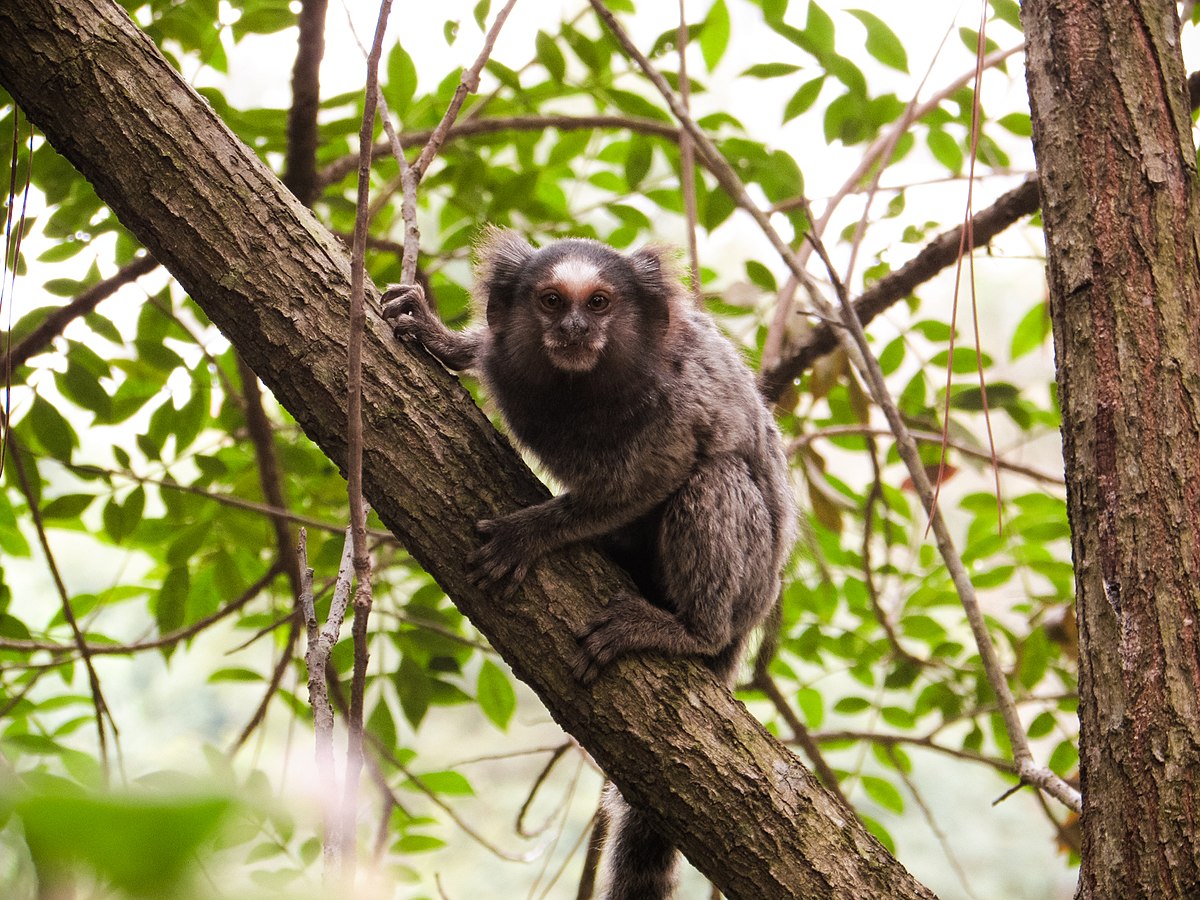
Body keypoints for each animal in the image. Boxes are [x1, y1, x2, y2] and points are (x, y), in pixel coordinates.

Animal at [384, 230, 796, 900]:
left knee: (713, 479)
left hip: (748, 579)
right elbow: (481, 347)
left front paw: (531, 533)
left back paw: (686, 629)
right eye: (552, 301)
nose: (575, 328)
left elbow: (659, 474)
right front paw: (440, 336)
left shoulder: (673, 408)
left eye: (599, 303)